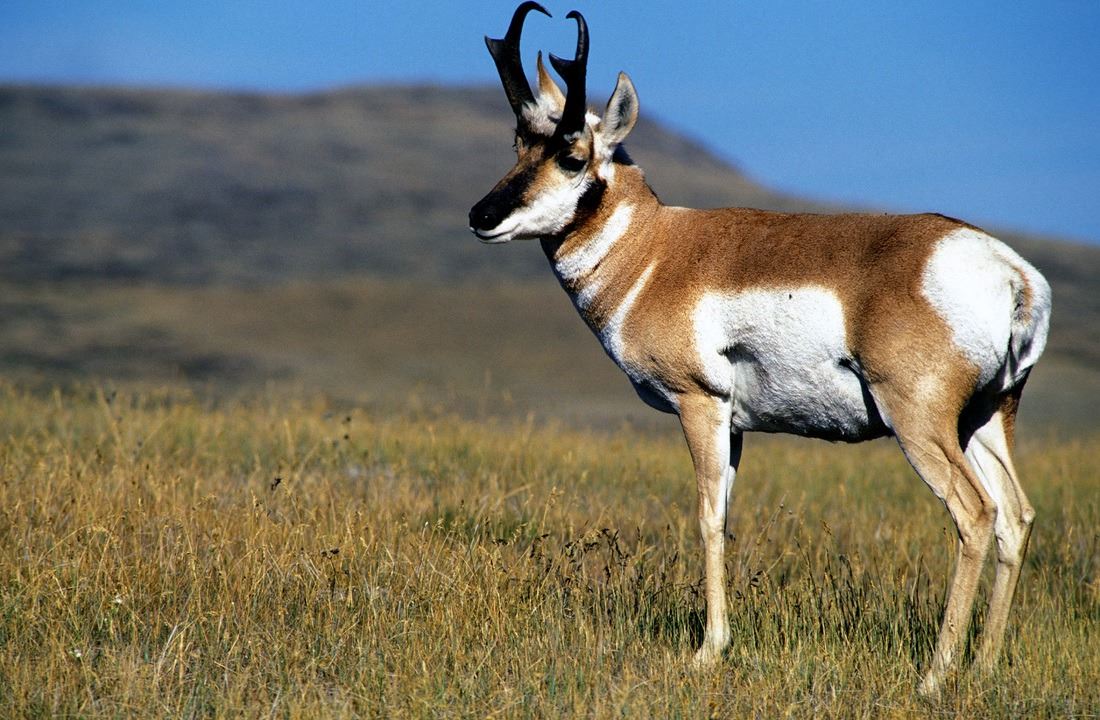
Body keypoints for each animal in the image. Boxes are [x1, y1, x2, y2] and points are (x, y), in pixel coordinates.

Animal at [468, 3, 1051, 695]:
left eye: (570, 155)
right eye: (518, 144)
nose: (481, 215)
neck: (655, 251)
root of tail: (1009, 271)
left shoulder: (701, 405)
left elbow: (706, 518)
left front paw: (707, 650)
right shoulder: (738, 426)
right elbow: (725, 513)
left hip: (920, 423)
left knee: (976, 514)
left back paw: (934, 676)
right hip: (985, 419)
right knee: (1016, 516)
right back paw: (984, 665)